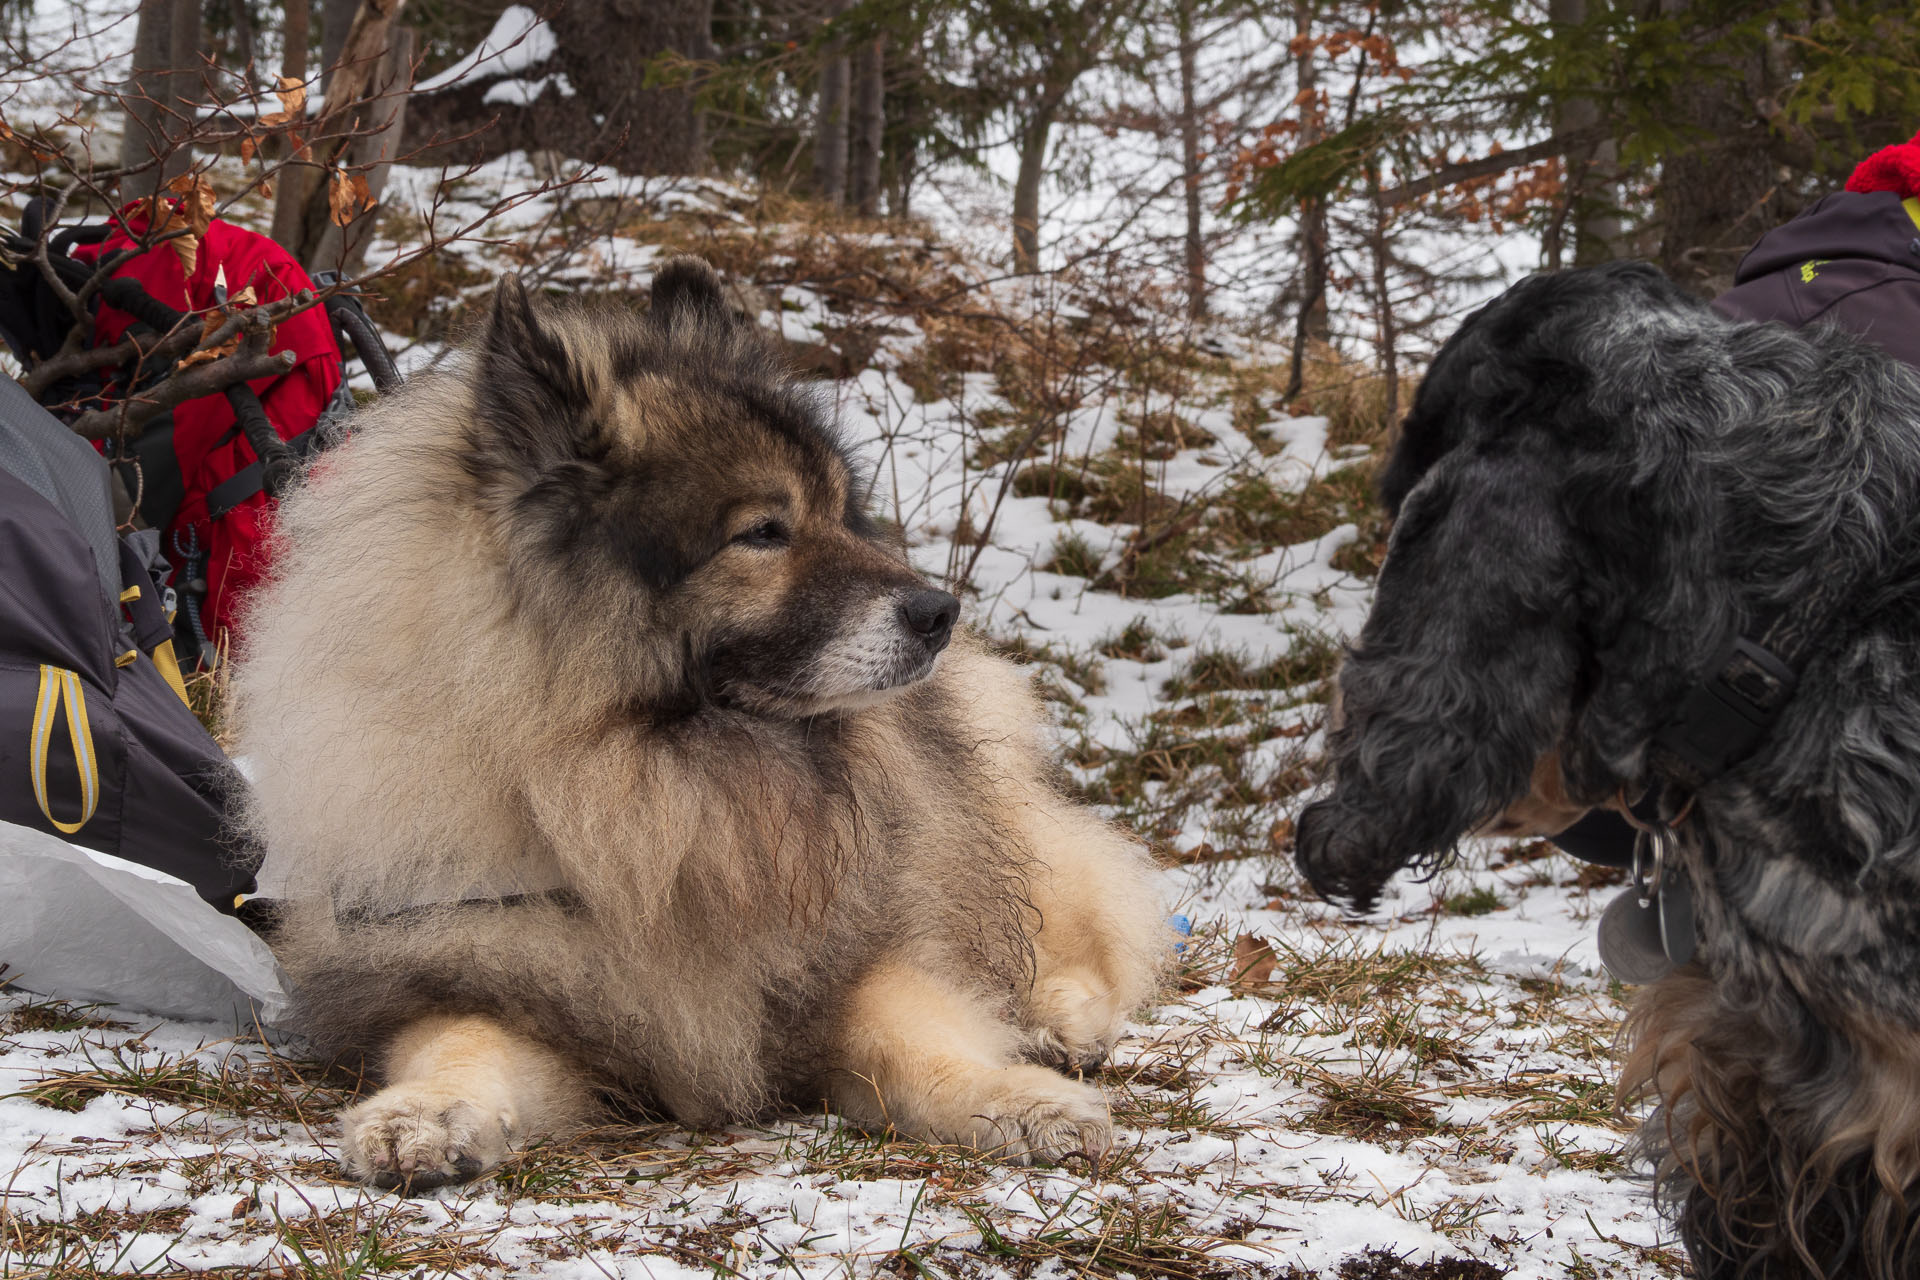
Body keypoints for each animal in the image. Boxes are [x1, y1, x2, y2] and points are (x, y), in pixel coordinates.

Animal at [236, 257, 1167, 1189]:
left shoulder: (859, 958)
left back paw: (1055, 1023)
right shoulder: (481, 969)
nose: (942, 611)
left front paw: (1023, 1100)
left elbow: (919, 1038)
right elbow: (455, 1040)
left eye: (840, 514)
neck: (652, 792)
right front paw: (422, 1116)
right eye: (763, 532)